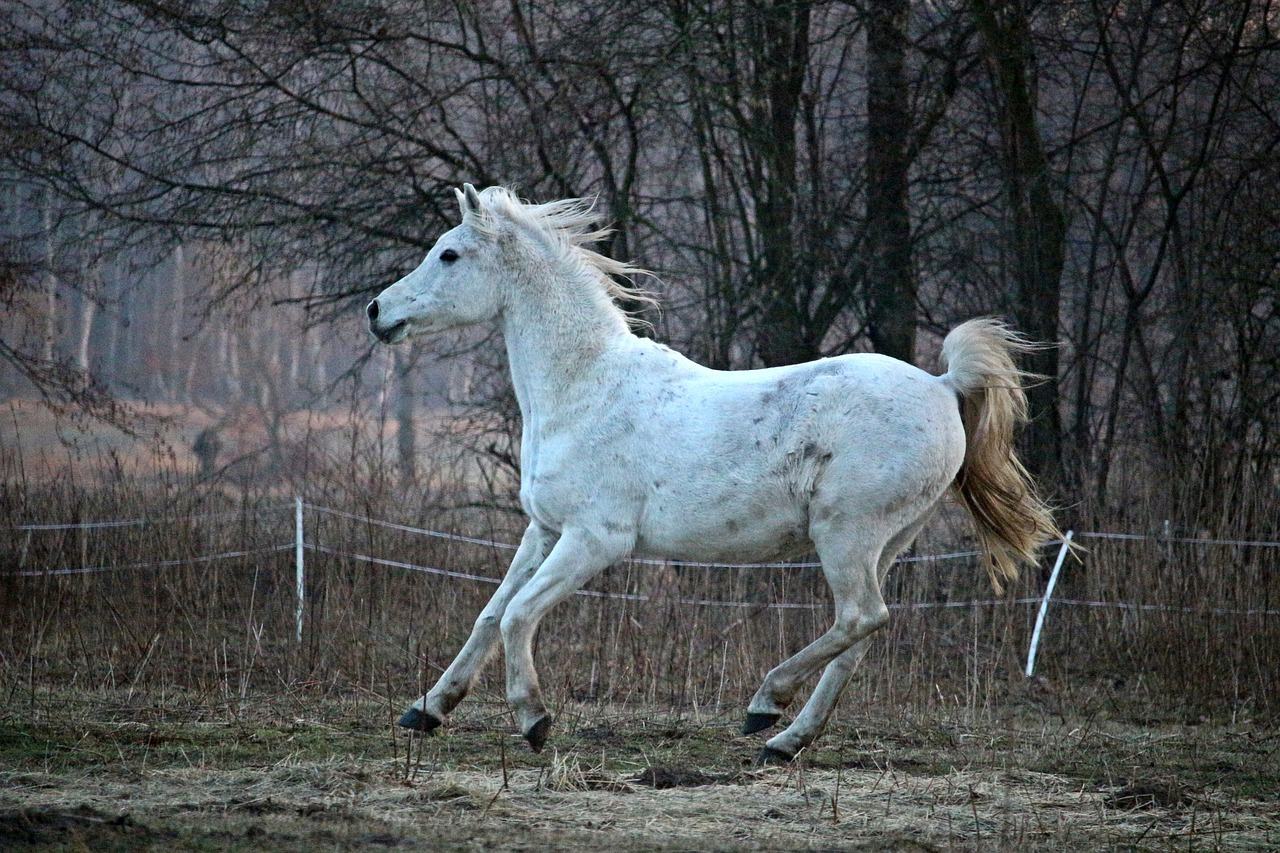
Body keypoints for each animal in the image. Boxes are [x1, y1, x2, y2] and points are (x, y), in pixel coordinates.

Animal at [363, 184, 1059, 758]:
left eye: (450, 255)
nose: (376, 312)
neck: (586, 388)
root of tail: (943, 386)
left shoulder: (595, 539)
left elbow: (518, 615)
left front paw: (533, 721)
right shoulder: (544, 529)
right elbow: (490, 613)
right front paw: (426, 711)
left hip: (847, 533)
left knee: (861, 618)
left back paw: (765, 705)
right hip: (888, 542)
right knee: (863, 633)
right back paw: (784, 742)